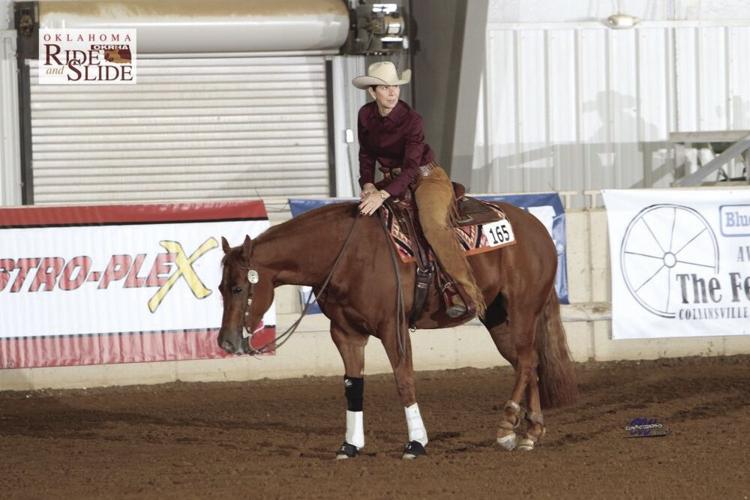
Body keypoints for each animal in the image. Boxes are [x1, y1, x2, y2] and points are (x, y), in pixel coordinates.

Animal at [217, 201, 577, 459]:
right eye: (220, 287)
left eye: (238, 288)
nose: (226, 342)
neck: (347, 254)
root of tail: (538, 230)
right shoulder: (346, 334)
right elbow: (353, 387)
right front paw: (350, 445)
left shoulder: (394, 328)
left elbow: (404, 381)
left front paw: (416, 443)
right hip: (498, 319)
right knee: (527, 364)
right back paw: (529, 434)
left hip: (522, 310)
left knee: (527, 361)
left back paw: (506, 428)